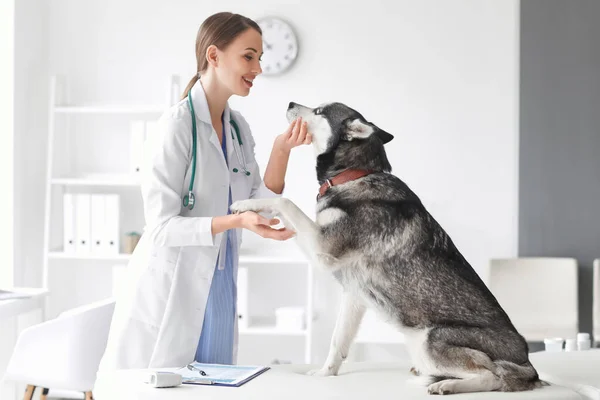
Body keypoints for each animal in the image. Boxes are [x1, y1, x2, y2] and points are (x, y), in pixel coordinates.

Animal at [231, 101, 544, 396]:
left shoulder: (323, 247)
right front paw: (323, 374)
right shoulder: (354, 295)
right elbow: (336, 342)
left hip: (430, 339)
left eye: (319, 110)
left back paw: (447, 385)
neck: (354, 176)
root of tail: (529, 364)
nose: (290, 103)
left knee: (492, 376)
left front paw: (244, 204)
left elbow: (283, 201)